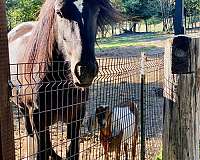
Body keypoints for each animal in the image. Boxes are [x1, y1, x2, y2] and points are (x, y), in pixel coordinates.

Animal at [8, 0, 119, 159]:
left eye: (97, 11)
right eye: (59, 12)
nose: (85, 70)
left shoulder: (76, 118)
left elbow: (72, 151)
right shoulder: (38, 119)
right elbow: (42, 150)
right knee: (30, 130)